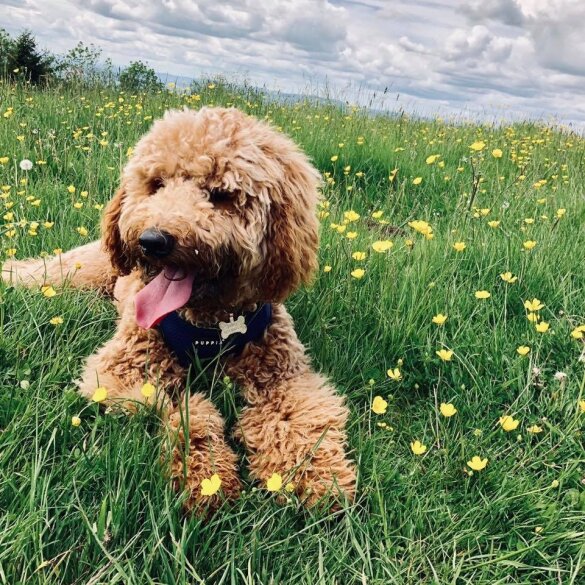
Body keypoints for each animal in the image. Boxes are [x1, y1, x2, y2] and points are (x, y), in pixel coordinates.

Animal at [3, 107, 356, 508]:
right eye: (156, 184)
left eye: (221, 194)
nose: (153, 240)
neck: (208, 326)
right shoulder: (120, 373)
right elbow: (177, 407)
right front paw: (204, 474)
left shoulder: (285, 378)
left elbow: (298, 420)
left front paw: (314, 476)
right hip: (74, 273)